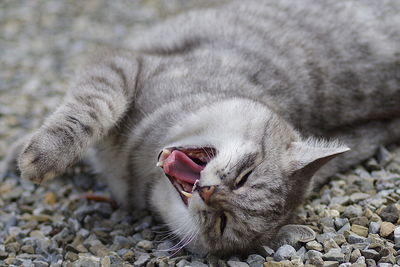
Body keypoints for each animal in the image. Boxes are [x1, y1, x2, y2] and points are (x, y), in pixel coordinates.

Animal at [3, 0, 400, 258]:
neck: (133, 165)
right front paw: (34, 154)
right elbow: (93, 109)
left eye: (223, 223)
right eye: (244, 175)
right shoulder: (124, 65)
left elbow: (89, 112)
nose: (209, 192)